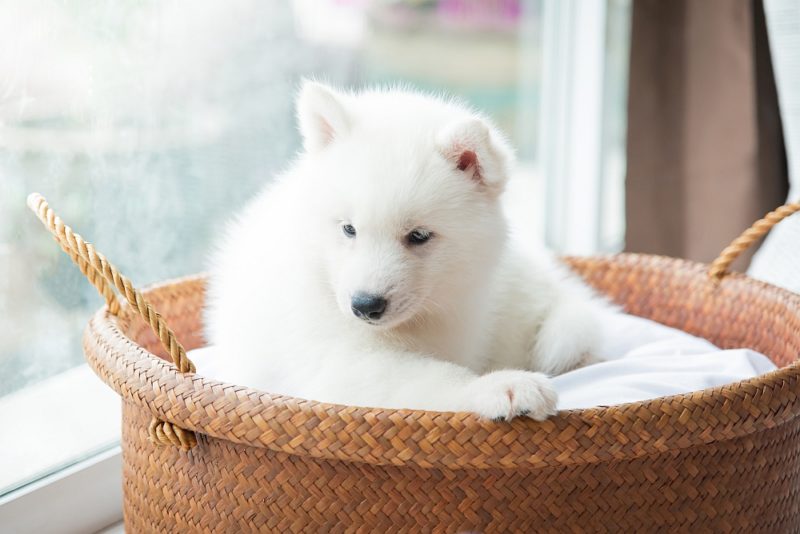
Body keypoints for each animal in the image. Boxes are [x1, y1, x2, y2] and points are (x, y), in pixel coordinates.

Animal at [206, 81, 608, 422]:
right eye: (348, 229)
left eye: (418, 235)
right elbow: (429, 377)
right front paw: (501, 386)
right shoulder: (336, 358)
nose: (365, 305)